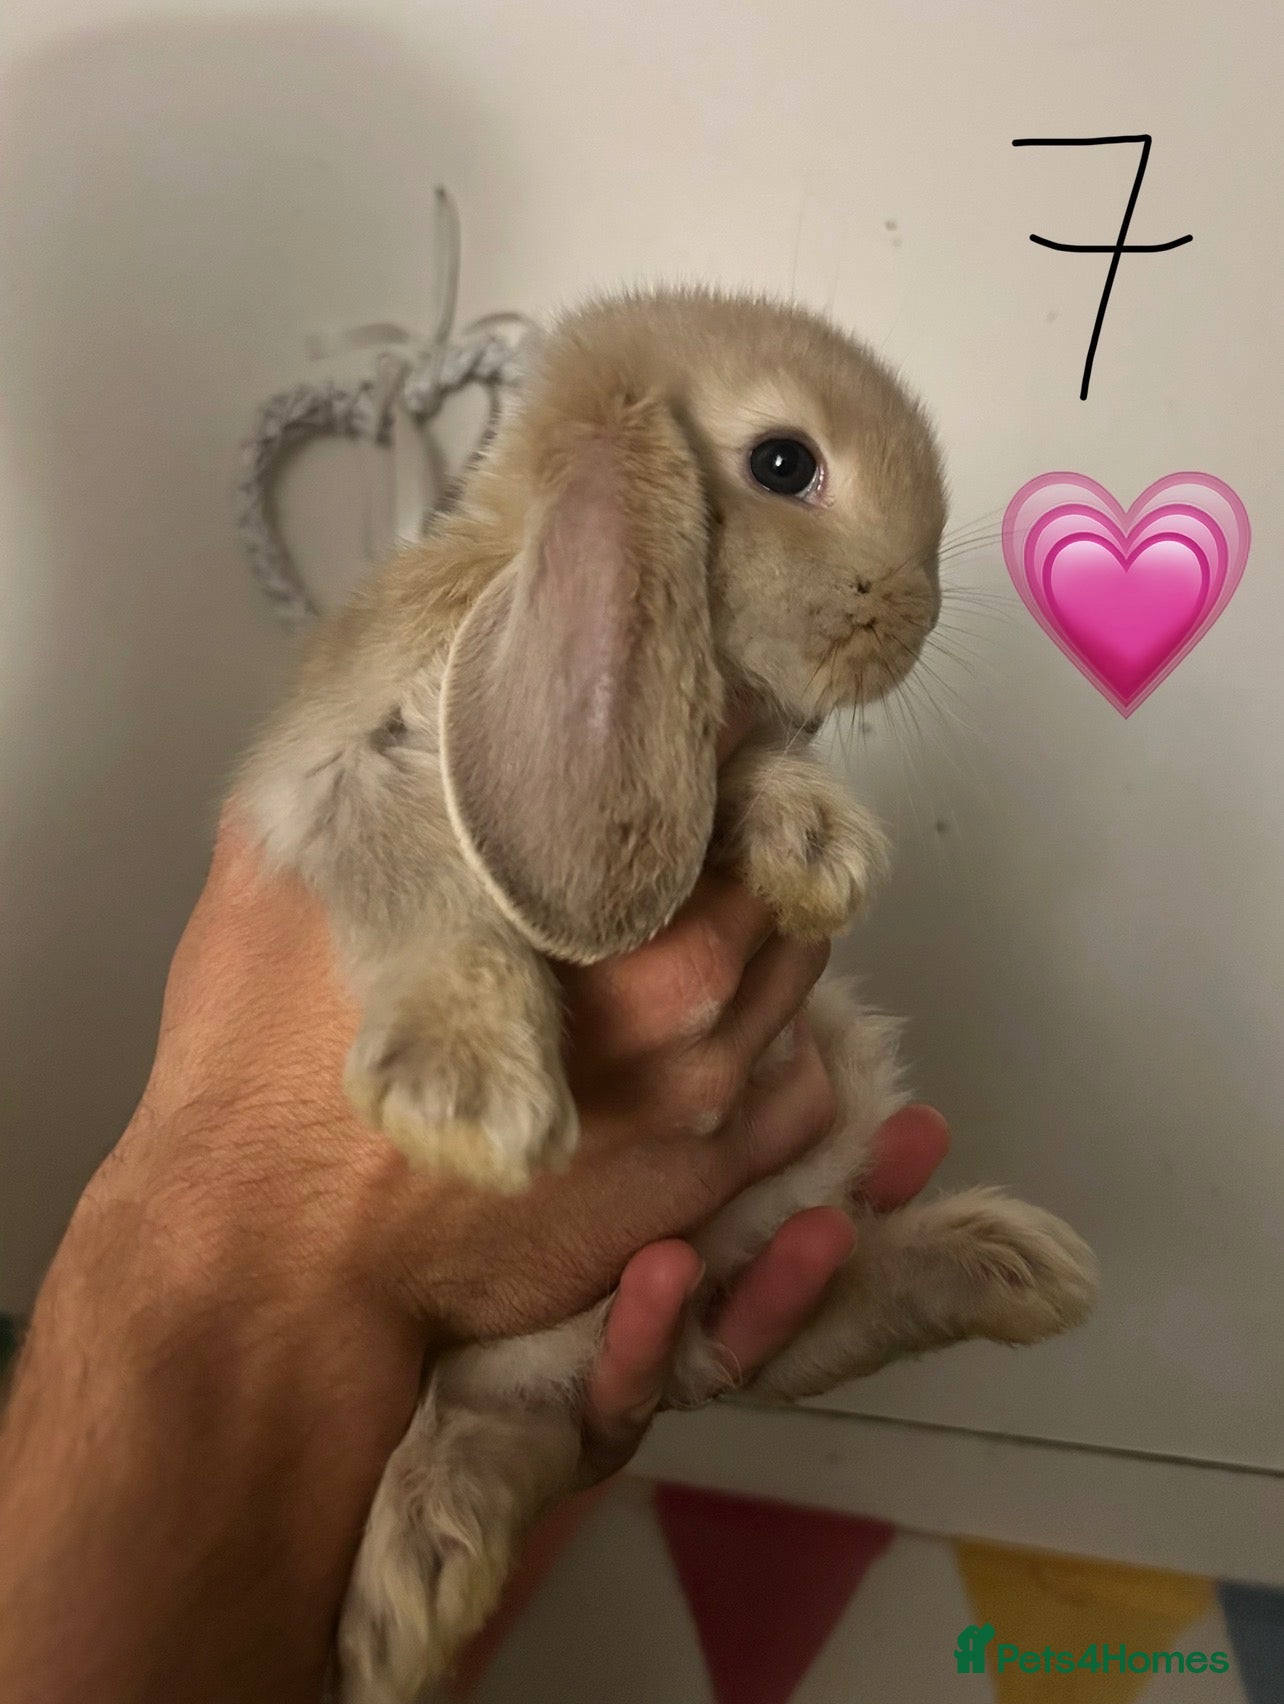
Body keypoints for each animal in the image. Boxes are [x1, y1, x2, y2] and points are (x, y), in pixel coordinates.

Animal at [238, 287, 1098, 1704]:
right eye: (785, 464)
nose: (915, 615)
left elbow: (737, 774)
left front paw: (815, 845)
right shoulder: (347, 776)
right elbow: (424, 887)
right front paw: (471, 1099)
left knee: (789, 1333)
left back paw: (1009, 1265)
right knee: (510, 1422)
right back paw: (412, 1592)